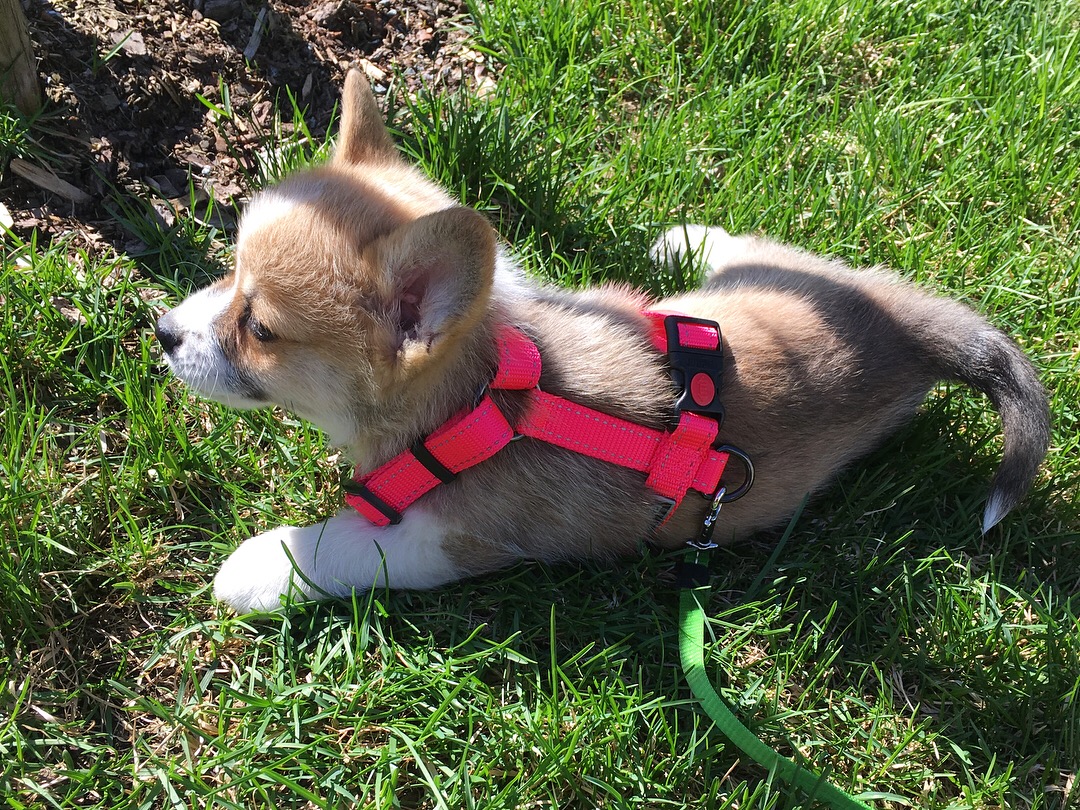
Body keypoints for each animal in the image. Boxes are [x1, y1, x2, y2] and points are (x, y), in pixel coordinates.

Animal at [156, 71, 1050, 613]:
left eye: (260, 328)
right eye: (230, 272)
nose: (161, 334)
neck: (487, 394)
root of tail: (903, 327)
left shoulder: (451, 540)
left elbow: (342, 545)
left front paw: (259, 567)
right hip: (773, 278)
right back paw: (686, 240)